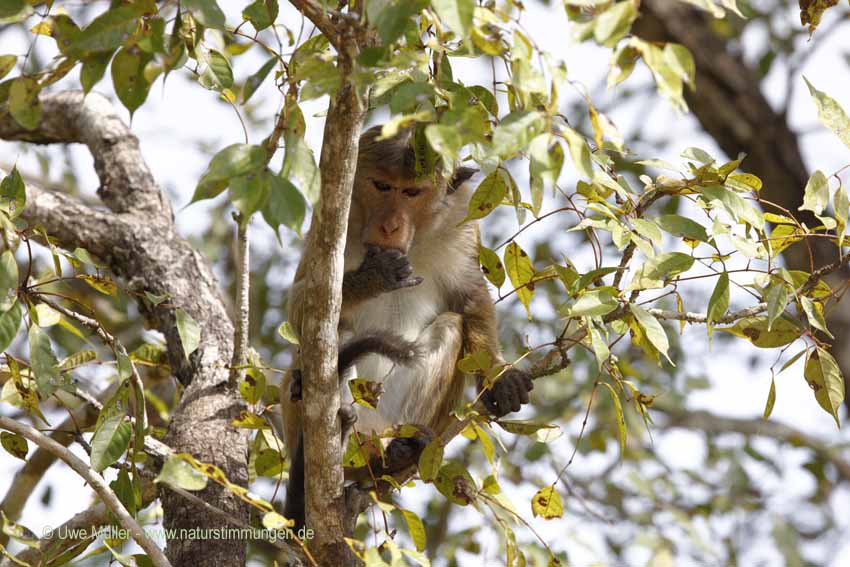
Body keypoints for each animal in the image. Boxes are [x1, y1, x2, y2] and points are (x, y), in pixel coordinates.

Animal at [282, 126, 532, 532]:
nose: (390, 226)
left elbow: (470, 298)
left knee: (451, 326)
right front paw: (373, 278)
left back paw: (398, 452)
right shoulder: (326, 218)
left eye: (411, 193)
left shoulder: (461, 221)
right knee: (334, 337)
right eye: (382, 186)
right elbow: (302, 301)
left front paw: (498, 373)